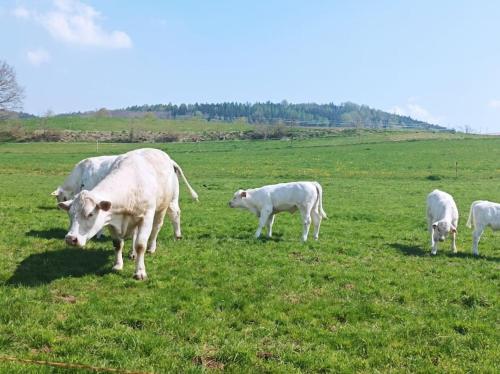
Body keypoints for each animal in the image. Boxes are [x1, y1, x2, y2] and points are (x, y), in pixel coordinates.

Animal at [58, 148, 197, 280]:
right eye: (70, 215)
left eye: (90, 214)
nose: (70, 238)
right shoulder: (111, 220)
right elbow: (118, 244)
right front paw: (118, 265)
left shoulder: (146, 218)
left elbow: (140, 245)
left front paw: (140, 272)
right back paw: (132, 252)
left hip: (163, 206)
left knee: (158, 226)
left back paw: (153, 246)